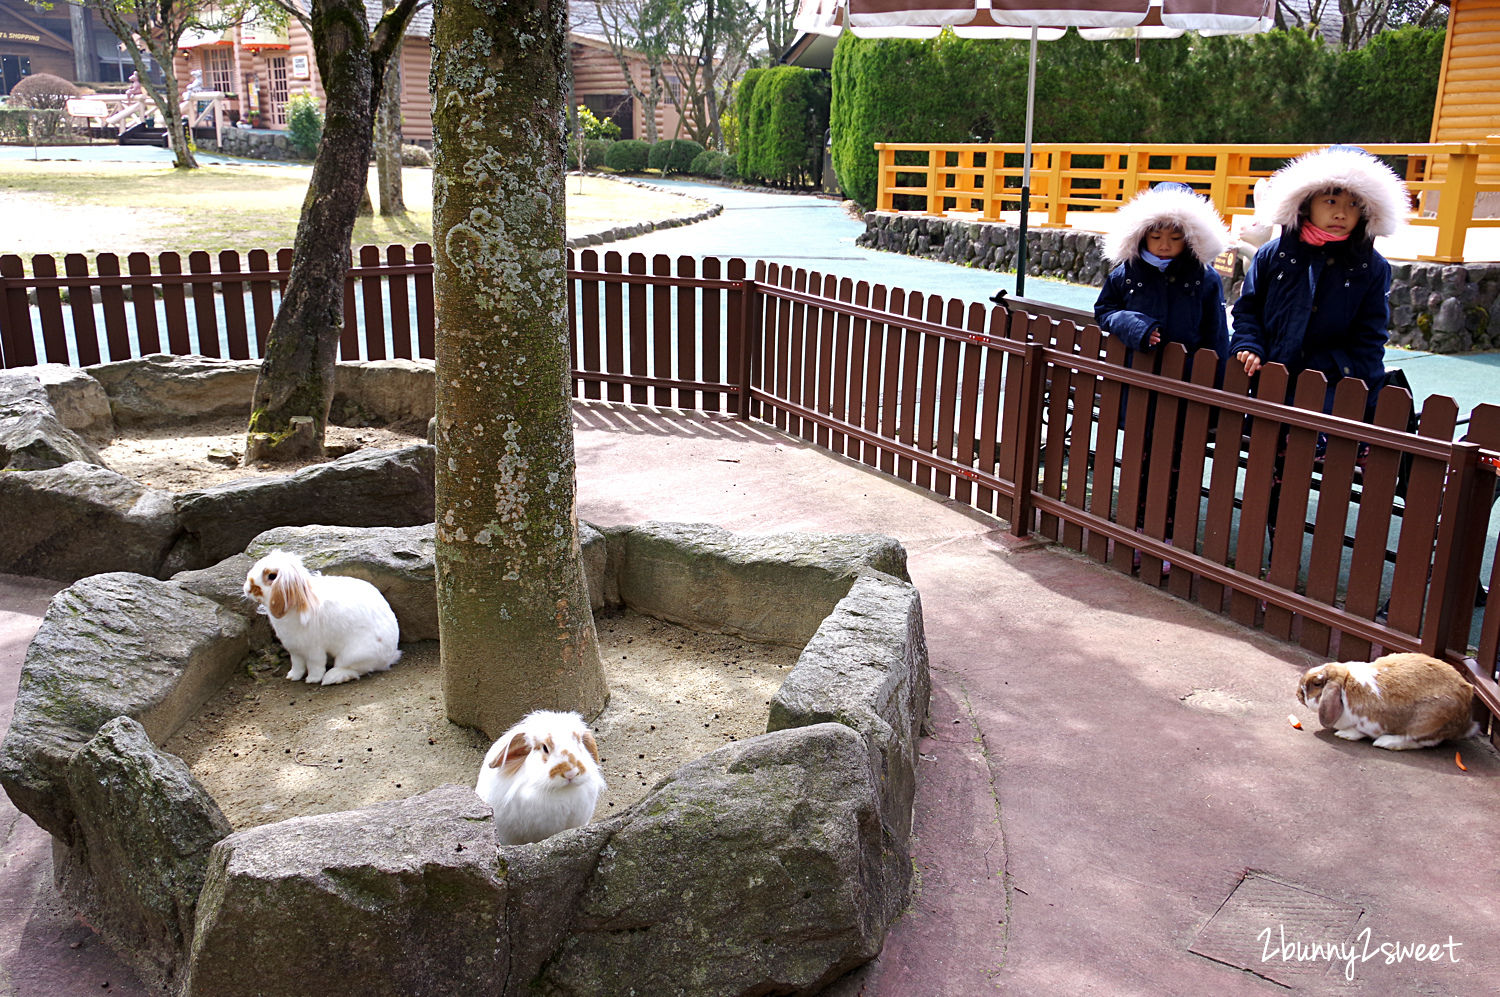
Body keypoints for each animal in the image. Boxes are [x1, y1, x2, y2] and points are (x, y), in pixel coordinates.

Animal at [241, 551, 402, 683]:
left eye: (272, 576)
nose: (247, 589)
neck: (299, 601)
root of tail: (390, 654)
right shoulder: (294, 649)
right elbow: (297, 665)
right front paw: (292, 676)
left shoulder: (313, 649)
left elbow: (315, 665)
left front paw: (312, 679)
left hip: (352, 655)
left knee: (356, 669)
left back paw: (333, 677)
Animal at [1302, 653, 1476, 746]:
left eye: (1317, 683)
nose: (1298, 692)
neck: (1345, 684)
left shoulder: (1371, 723)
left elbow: (1360, 731)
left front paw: (1346, 734)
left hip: (1427, 722)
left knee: (1418, 741)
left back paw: (1386, 742)